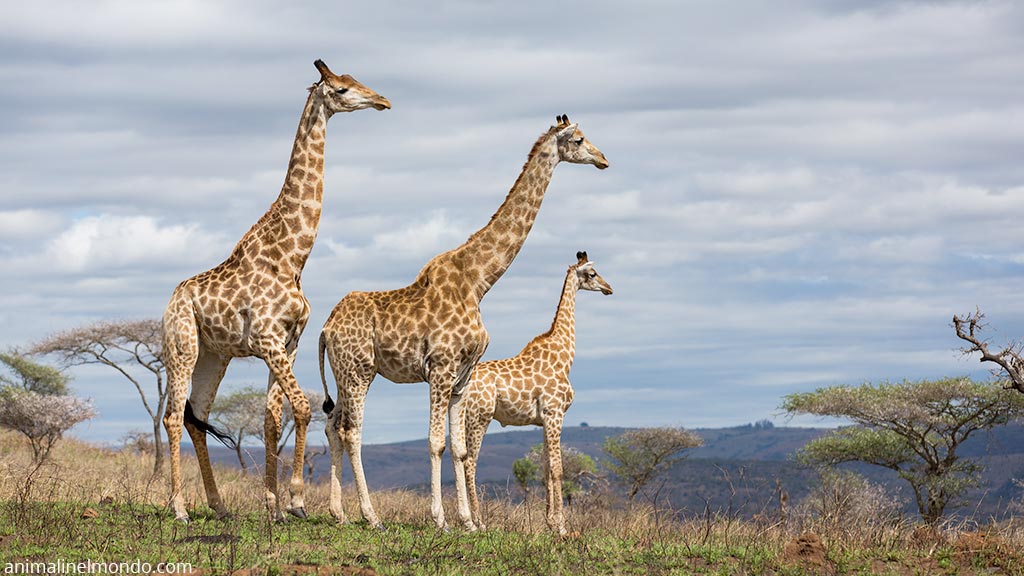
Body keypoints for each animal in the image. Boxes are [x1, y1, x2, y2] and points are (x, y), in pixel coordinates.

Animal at [161, 59, 390, 523]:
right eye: (341, 89)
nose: (382, 101)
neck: (291, 257)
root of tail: (171, 300)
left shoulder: (290, 342)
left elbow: (271, 419)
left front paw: (273, 506)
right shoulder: (268, 340)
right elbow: (301, 407)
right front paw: (296, 501)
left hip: (215, 355)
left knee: (197, 415)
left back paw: (218, 505)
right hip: (182, 346)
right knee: (174, 417)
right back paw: (179, 508)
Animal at [453, 251, 612, 535]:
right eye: (593, 273)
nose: (609, 288)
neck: (564, 356)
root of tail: (463, 385)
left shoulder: (543, 419)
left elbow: (546, 468)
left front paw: (550, 522)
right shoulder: (555, 412)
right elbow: (558, 469)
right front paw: (561, 526)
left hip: (466, 418)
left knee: (461, 459)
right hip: (479, 417)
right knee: (470, 462)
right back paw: (479, 522)